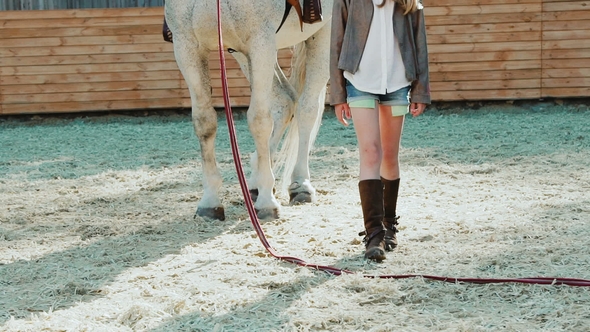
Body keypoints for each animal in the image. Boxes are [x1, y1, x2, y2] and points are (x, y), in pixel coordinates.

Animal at [164, 1, 336, 222]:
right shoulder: (187, 46)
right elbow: (204, 122)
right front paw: (210, 202)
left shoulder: (261, 43)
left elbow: (259, 121)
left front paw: (267, 203)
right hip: (242, 53)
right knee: (285, 100)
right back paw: (255, 183)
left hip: (323, 32)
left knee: (307, 108)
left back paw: (300, 185)